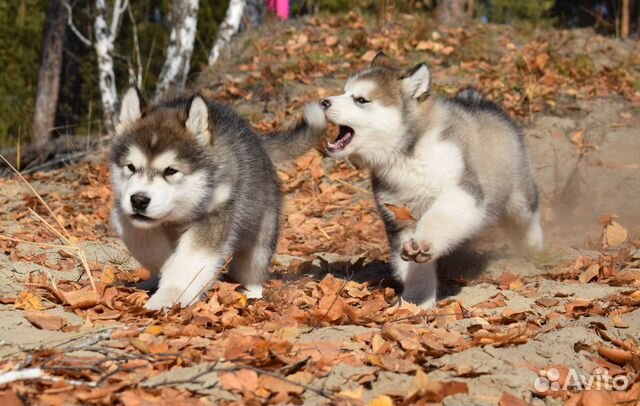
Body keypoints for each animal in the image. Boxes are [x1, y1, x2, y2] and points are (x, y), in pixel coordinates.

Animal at [109, 89, 324, 310]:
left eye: (171, 171)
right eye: (130, 167)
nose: (139, 200)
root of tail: (257, 141)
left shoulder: (215, 215)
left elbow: (188, 259)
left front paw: (169, 295)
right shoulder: (124, 210)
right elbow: (141, 237)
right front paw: (165, 264)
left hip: (261, 232)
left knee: (252, 266)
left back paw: (251, 292)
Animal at [320, 53, 540, 308]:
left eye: (361, 100)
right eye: (344, 92)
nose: (323, 102)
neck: (407, 155)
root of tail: (481, 102)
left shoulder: (463, 191)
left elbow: (440, 216)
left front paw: (425, 241)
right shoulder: (399, 216)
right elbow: (413, 267)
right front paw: (416, 301)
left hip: (518, 193)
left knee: (528, 212)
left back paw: (534, 247)